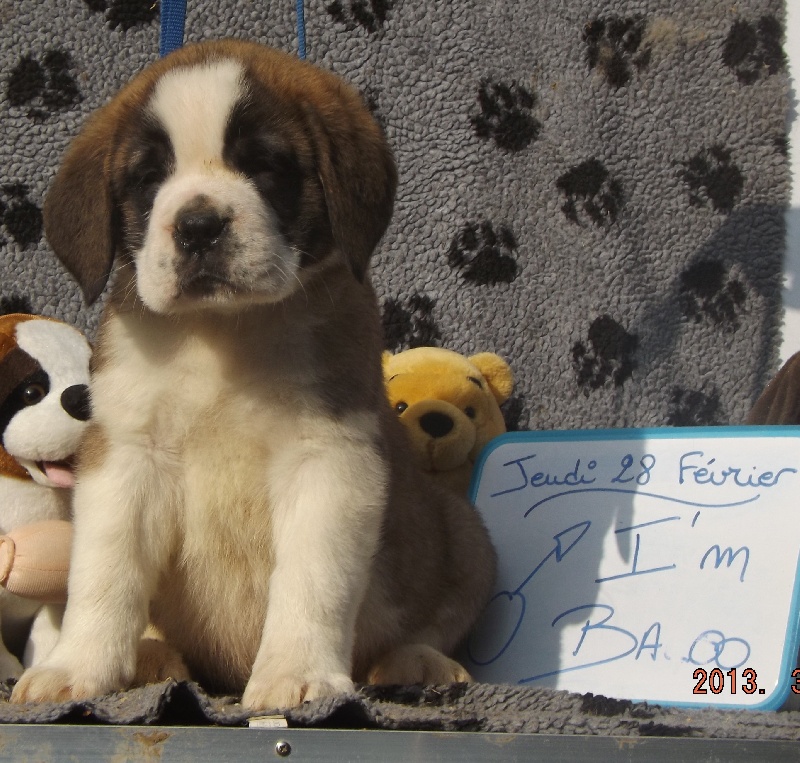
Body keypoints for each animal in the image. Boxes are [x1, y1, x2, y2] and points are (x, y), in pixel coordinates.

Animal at [11, 39, 496, 710]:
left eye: (266, 166)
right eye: (148, 179)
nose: (198, 226)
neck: (225, 332)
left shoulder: (329, 458)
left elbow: (313, 578)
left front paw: (297, 673)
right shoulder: (128, 456)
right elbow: (104, 572)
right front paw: (77, 666)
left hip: (466, 533)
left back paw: (414, 661)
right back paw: (154, 658)